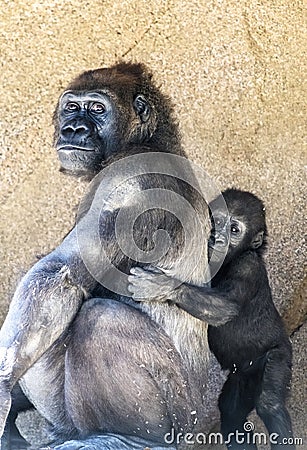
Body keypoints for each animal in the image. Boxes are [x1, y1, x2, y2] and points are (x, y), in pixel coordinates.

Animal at [0, 63, 229, 450]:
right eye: (71, 107)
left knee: (102, 319)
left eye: (96, 108)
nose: (73, 128)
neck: (149, 139)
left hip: (187, 423)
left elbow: (60, 273)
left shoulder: (125, 174)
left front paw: (2, 381)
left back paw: (131, 438)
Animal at [129, 188, 294, 448]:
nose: (219, 237)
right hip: (242, 377)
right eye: (216, 220)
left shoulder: (248, 266)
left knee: (270, 402)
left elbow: (223, 307)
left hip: (279, 354)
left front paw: (161, 286)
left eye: (234, 229)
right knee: (232, 414)